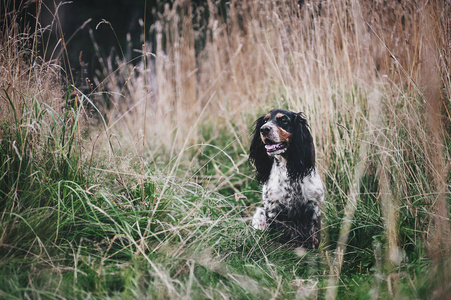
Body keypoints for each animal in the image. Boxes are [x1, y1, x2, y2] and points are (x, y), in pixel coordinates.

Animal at [251, 108, 324, 248]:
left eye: (284, 119)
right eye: (265, 121)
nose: (264, 129)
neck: (288, 169)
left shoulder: (314, 207)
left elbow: (314, 239)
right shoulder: (272, 209)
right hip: (259, 214)